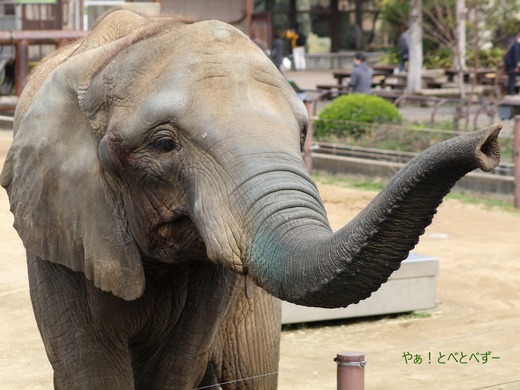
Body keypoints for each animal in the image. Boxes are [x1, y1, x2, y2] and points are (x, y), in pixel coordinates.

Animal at [1, 9, 500, 390]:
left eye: (301, 135)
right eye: (164, 144)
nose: (490, 143)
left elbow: (172, 369)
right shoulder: (60, 231)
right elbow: (91, 371)